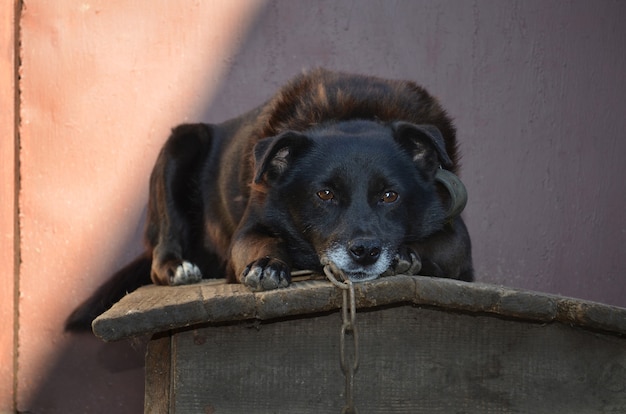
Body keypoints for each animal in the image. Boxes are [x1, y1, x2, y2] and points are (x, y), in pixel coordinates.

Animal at [66, 69, 470, 332]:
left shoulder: (458, 239)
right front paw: (267, 265)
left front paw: (404, 255)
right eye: (324, 194)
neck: (352, 112)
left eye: (390, 195)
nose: (365, 252)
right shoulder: (248, 232)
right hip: (180, 142)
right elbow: (261, 243)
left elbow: (440, 247)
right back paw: (178, 266)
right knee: (160, 253)